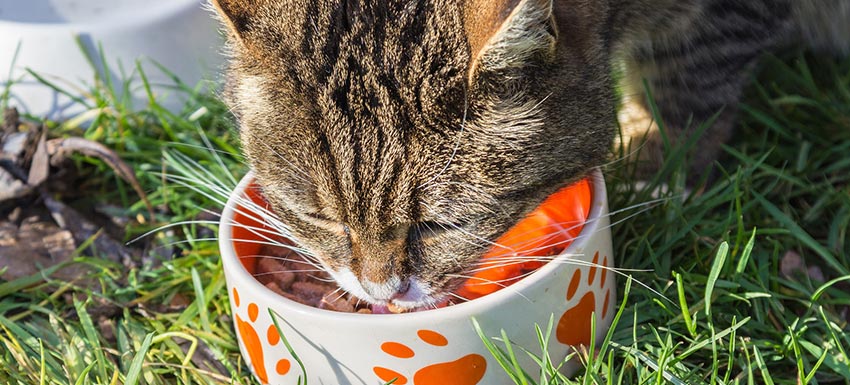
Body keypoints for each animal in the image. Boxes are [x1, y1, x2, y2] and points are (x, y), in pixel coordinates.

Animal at [207, 0, 848, 308]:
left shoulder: (720, 19)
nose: (381, 293)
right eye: (318, 217)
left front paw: (658, 170)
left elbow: (689, 77)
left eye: (443, 224)